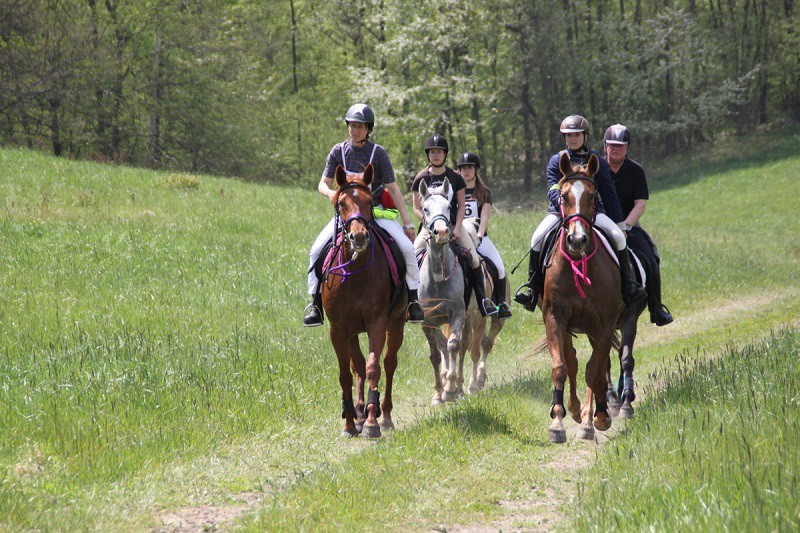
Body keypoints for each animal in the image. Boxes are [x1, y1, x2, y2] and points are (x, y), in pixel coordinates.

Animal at [320, 164, 406, 438]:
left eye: (369, 202)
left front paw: (371, 422)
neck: (355, 271)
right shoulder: (338, 329)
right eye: (341, 203)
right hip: (352, 331)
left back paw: (383, 414)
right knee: (357, 365)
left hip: (396, 323)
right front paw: (350, 422)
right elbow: (346, 374)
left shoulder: (377, 323)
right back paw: (358, 413)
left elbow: (373, 368)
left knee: (389, 363)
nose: (358, 237)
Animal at [536, 152, 624, 442]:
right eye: (563, 196)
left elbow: (594, 372)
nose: (577, 239)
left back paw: (590, 416)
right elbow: (562, 367)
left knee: (596, 367)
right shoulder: (555, 318)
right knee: (573, 361)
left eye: (592, 194)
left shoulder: (605, 325)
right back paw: (574, 410)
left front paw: (597, 418)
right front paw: (557, 422)